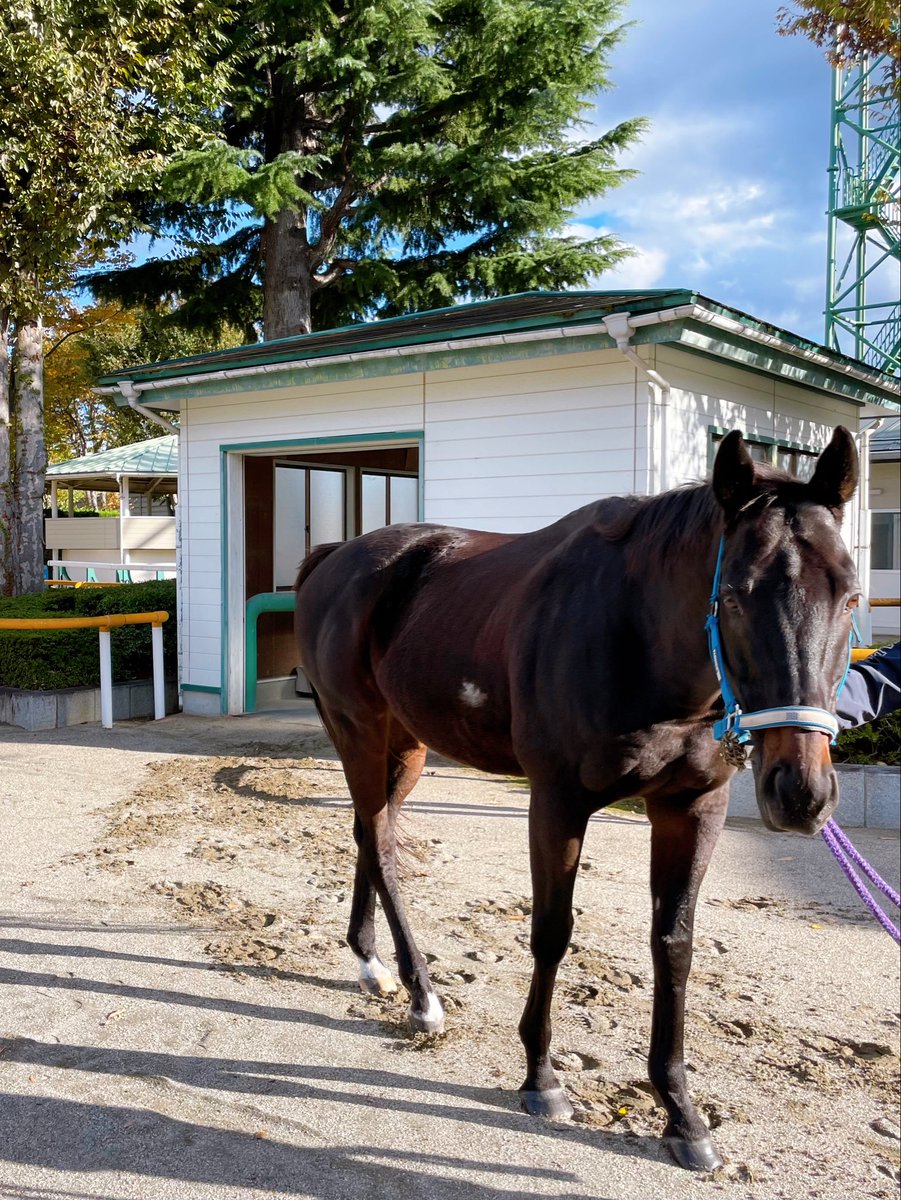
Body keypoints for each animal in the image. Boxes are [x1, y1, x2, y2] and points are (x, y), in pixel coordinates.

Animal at [293, 427, 860, 1171]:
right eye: (734, 597)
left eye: (849, 596)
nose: (800, 793)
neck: (636, 635)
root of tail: (334, 558)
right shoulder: (557, 803)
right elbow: (551, 932)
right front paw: (541, 1079)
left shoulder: (693, 807)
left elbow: (674, 945)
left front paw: (681, 1114)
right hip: (359, 731)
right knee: (382, 844)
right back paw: (421, 996)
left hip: (405, 743)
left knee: (369, 831)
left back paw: (371, 963)